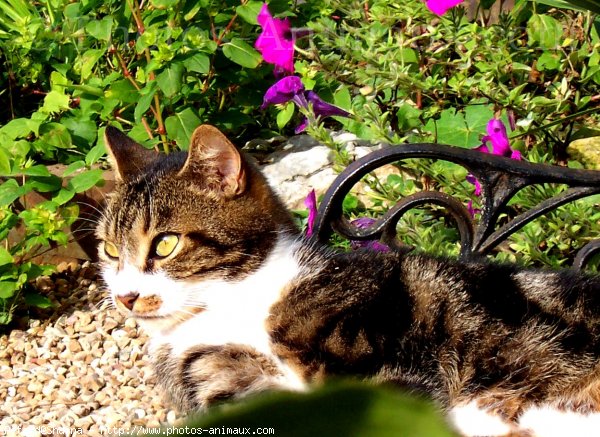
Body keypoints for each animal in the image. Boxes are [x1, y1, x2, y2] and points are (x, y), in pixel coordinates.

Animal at [96, 124, 600, 434]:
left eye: (165, 244)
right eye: (109, 250)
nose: (125, 297)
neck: (233, 307)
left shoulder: (381, 366)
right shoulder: (228, 388)